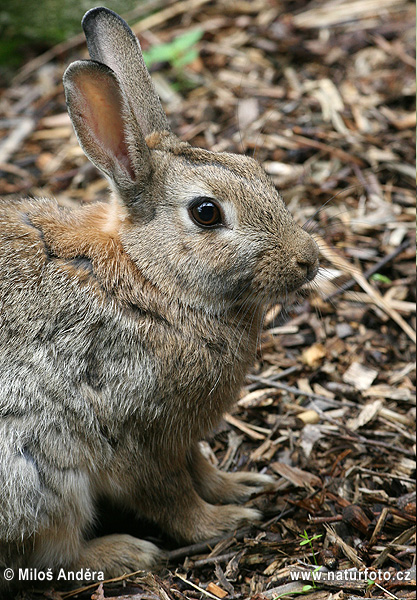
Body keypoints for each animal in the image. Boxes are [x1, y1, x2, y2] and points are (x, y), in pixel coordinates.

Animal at [0, 4, 318, 584]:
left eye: (254, 168)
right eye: (206, 212)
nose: (308, 259)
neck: (150, 277)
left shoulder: (182, 436)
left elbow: (199, 467)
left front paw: (241, 487)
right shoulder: (137, 432)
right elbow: (170, 497)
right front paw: (224, 521)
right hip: (37, 472)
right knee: (49, 552)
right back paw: (125, 553)